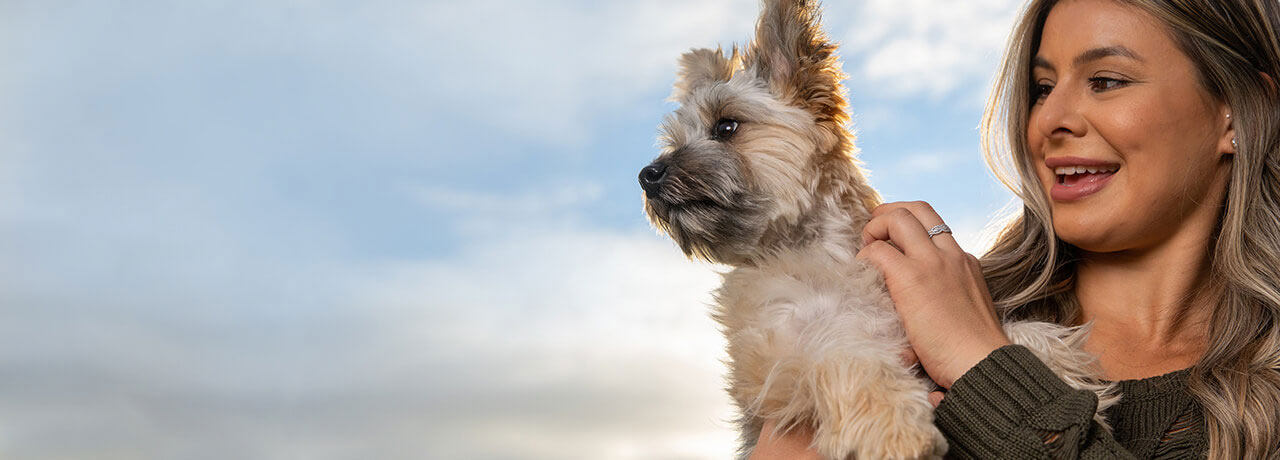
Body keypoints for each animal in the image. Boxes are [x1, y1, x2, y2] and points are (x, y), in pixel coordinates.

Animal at [640, 0, 1121, 460]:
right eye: (673, 143)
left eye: (725, 126)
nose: (647, 175)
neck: (820, 254)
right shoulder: (779, 361)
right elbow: (844, 354)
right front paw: (894, 429)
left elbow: (1022, 332)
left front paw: (1066, 375)